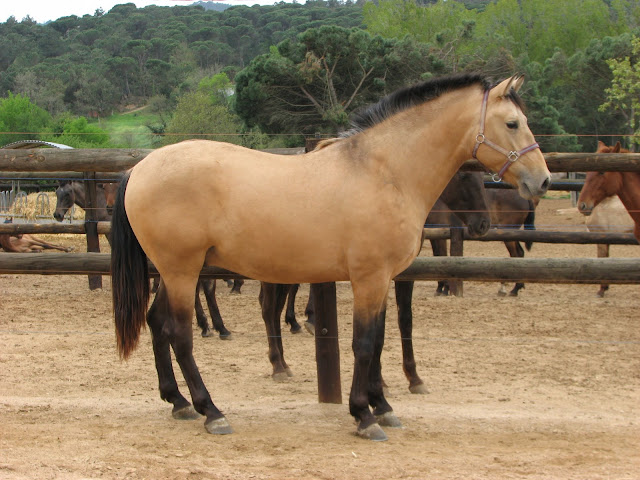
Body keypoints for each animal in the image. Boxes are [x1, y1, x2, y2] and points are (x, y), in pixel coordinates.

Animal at [110, 73, 550, 441]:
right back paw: (211, 411)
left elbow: (380, 339)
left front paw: (383, 405)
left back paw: (179, 402)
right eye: (513, 123)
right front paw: (364, 415)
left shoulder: (382, 280)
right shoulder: (369, 278)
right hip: (182, 271)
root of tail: (139, 169)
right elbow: (364, 343)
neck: (384, 172)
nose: (542, 180)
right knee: (179, 334)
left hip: (174, 272)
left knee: (156, 323)